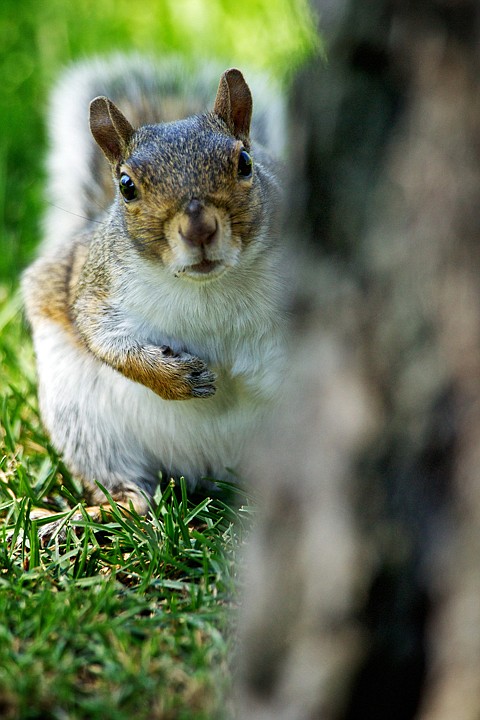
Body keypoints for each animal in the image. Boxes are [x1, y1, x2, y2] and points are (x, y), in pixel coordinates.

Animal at [22, 53, 284, 520]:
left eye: (245, 162)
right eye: (126, 186)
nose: (199, 229)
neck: (207, 287)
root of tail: (210, 471)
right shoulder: (99, 287)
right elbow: (103, 338)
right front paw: (176, 379)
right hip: (84, 419)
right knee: (119, 479)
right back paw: (114, 506)